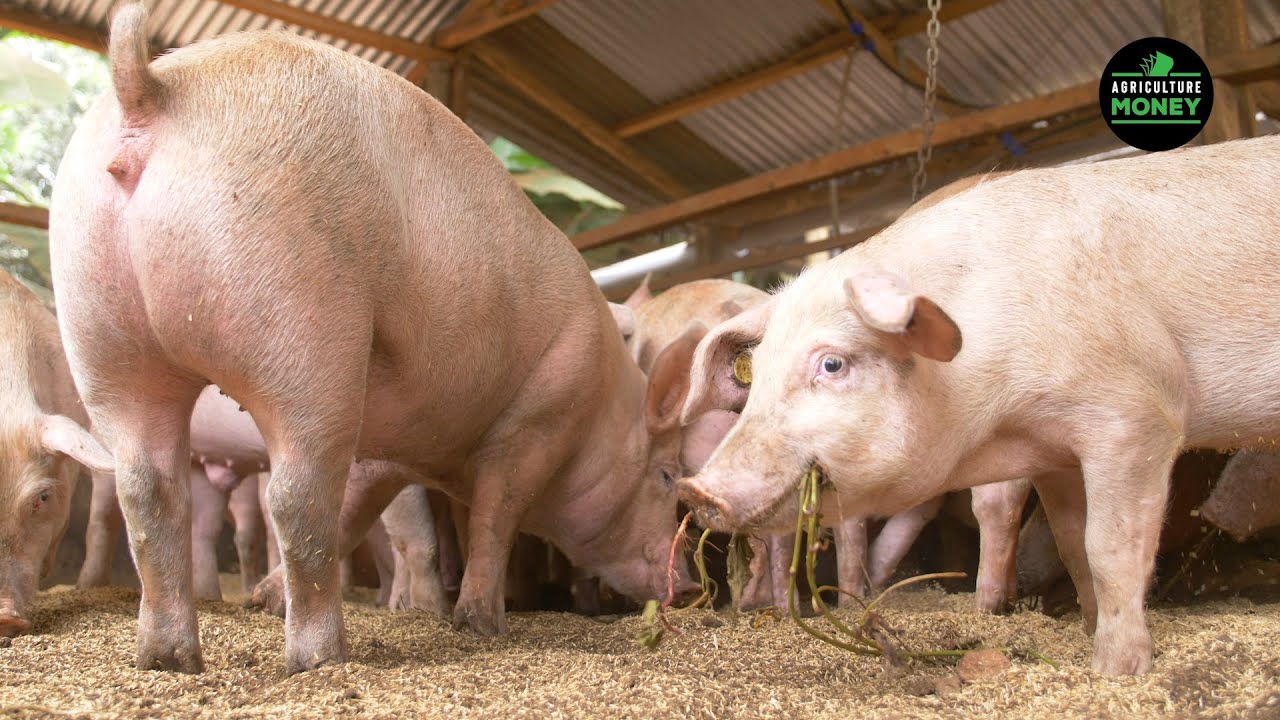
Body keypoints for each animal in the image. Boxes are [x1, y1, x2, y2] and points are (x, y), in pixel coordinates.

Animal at [49, 4, 694, 674]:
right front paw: (479, 625)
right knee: (295, 498)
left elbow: (360, 513)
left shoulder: (391, 446)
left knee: (149, 490)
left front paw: (266, 602)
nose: (694, 585)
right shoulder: (537, 419)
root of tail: (149, 89)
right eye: (667, 476)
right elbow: (493, 518)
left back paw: (169, 658)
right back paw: (323, 657)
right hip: (303, 329)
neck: (598, 412)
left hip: (103, 337)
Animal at [677, 134, 1280, 675]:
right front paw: (1086, 632)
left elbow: (1109, 547)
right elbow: (1072, 544)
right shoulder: (1055, 454)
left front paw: (1116, 672)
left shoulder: (1137, 415)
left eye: (832, 364)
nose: (697, 489)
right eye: (758, 374)